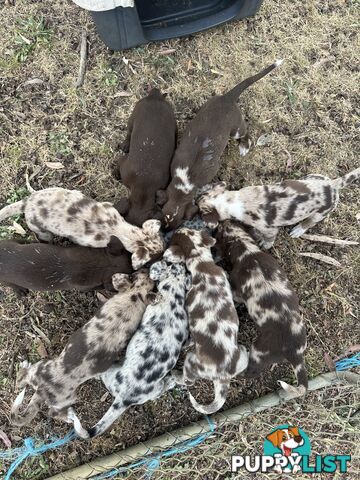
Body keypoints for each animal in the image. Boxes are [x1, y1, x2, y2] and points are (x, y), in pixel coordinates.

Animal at [10, 272, 154, 430]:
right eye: (135, 275)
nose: (146, 272)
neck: (134, 295)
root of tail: (42, 390)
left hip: (39, 368)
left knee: (21, 379)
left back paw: (24, 366)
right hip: (68, 398)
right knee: (52, 412)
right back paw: (68, 417)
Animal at [73, 258, 191, 438]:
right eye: (176, 265)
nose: (182, 262)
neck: (172, 297)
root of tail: (124, 399)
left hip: (123, 376)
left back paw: (171, 381)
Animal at [197, 167, 360, 249]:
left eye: (200, 211)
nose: (195, 199)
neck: (232, 201)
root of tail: (333, 185)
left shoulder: (269, 229)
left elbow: (269, 239)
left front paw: (265, 245)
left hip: (321, 213)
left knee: (309, 223)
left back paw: (297, 230)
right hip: (313, 176)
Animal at [215, 219, 308, 396]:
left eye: (218, 230)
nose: (222, 220)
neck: (246, 249)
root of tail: (296, 353)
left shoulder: (237, 290)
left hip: (259, 351)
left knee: (252, 371)